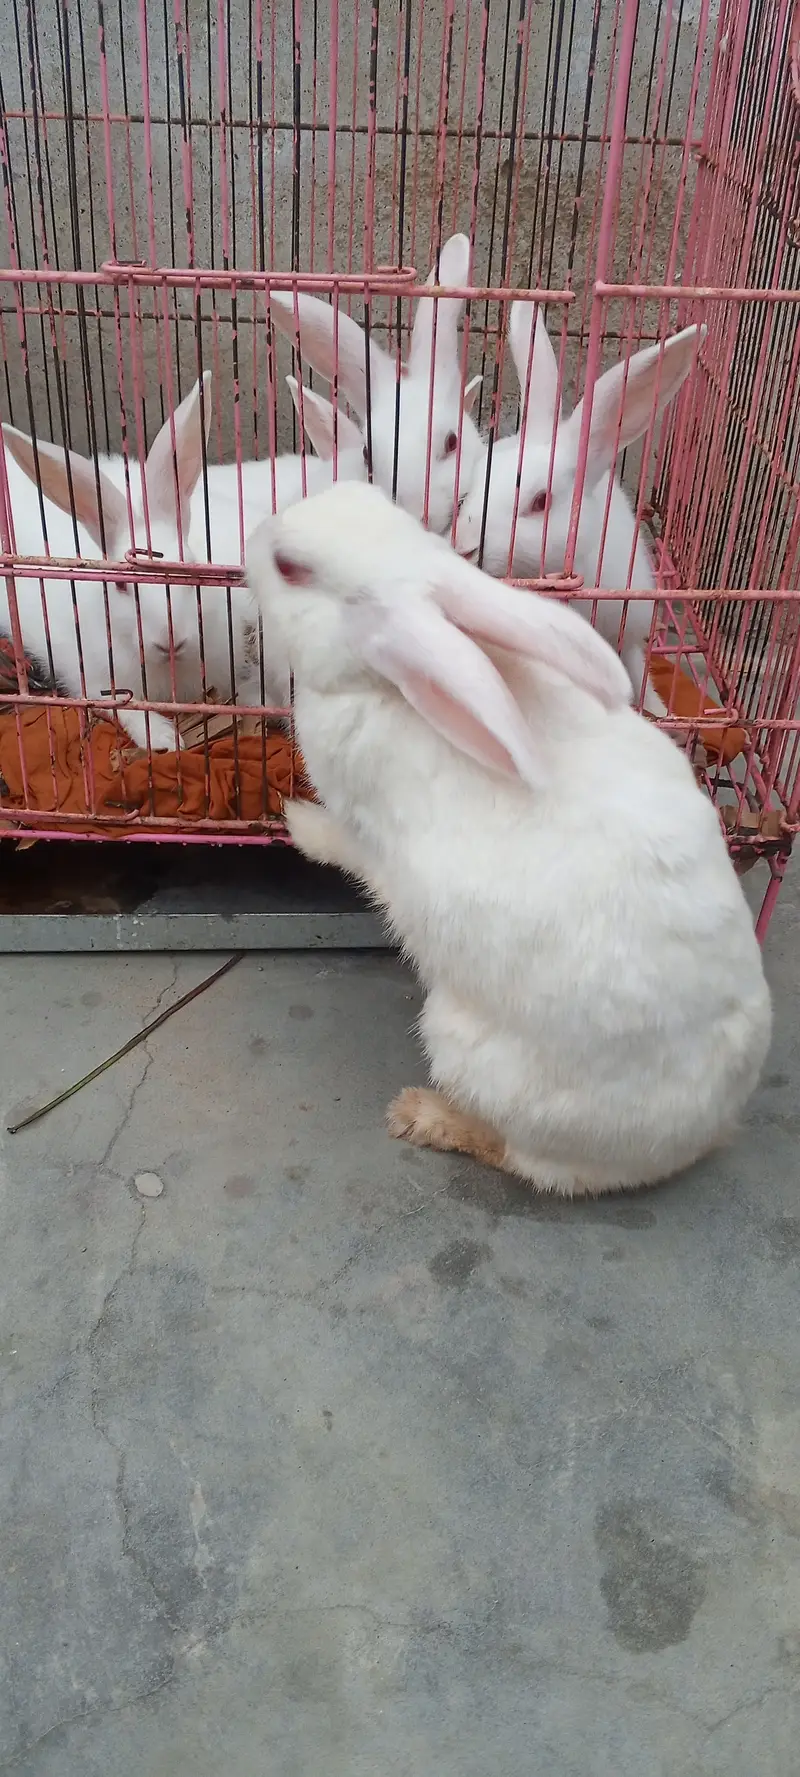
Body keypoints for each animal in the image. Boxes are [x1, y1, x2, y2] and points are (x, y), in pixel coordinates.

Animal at [245, 481, 771, 1198]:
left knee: (519, 1158)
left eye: (290, 567)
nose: (252, 537)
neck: (385, 686)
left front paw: (296, 821)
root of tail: (695, 1137)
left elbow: (345, 847)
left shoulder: (365, 826)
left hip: (465, 1049)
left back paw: (423, 1114)